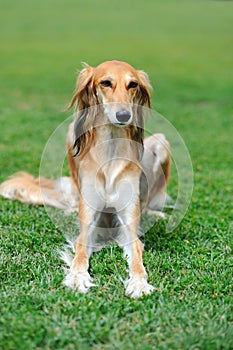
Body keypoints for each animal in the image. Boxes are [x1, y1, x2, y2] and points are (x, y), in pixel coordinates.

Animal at [0, 60, 171, 298]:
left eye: (133, 84)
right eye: (106, 82)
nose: (123, 115)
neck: (110, 149)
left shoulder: (128, 223)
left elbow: (136, 253)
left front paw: (138, 282)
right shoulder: (89, 221)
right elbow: (80, 249)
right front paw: (77, 277)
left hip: (163, 144)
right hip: (72, 134)